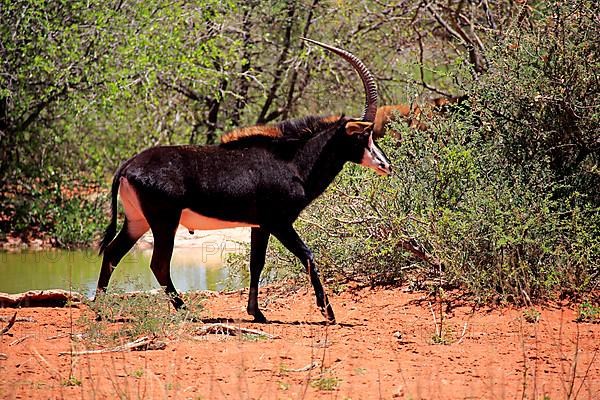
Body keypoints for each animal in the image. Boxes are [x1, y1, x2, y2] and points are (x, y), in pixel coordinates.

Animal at [96, 39, 392, 324]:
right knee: (158, 264)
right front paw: (327, 312)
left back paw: (100, 310)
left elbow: (256, 264)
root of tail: (128, 165)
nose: (386, 165)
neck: (292, 161)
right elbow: (308, 256)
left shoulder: (259, 226)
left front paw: (257, 312)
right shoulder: (279, 223)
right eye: (362, 135)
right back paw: (186, 311)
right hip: (164, 222)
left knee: (111, 254)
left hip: (137, 221)